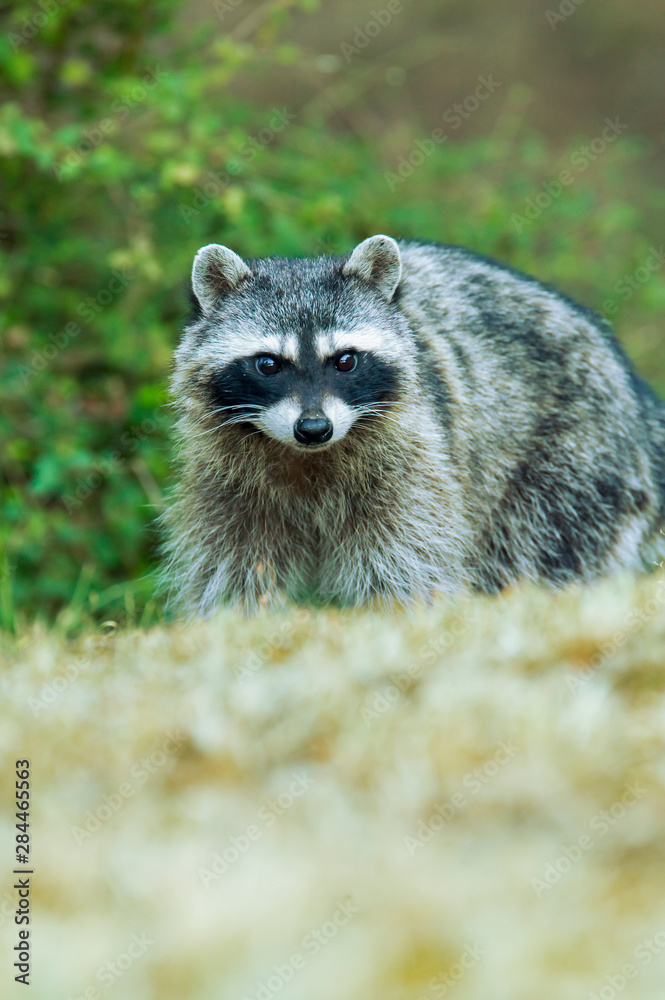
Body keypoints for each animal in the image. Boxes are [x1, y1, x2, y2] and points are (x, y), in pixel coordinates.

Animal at [162, 235, 665, 615]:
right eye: (268, 364)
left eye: (345, 360)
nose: (314, 428)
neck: (308, 458)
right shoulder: (227, 478)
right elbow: (233, 562)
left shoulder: (413, 458)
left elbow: (404, 557)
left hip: (573, 457)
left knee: (540, 546)